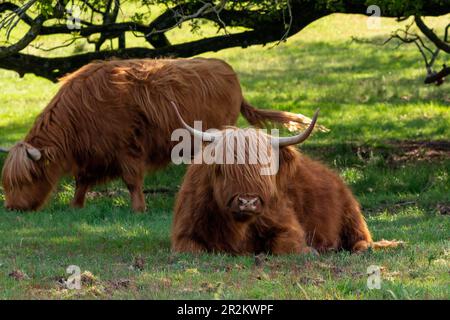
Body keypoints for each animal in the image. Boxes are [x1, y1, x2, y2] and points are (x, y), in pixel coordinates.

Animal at [0, 58, 316, 212]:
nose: (13, 208)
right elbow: (82, 181)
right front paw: (76, 206)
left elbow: (131, 181)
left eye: (27, 179)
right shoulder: (94, 153)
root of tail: (228, 71)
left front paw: (138, 209)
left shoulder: (127, 148)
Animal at [171, 106, 402, 254]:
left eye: (266, 169)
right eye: (224, 168)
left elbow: (284, 246)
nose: (248, 202)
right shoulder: (184, 233)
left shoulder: (287, 225)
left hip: (351, 215)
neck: (238, 227)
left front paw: (311, 251)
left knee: (361, 239)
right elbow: (194, 250)